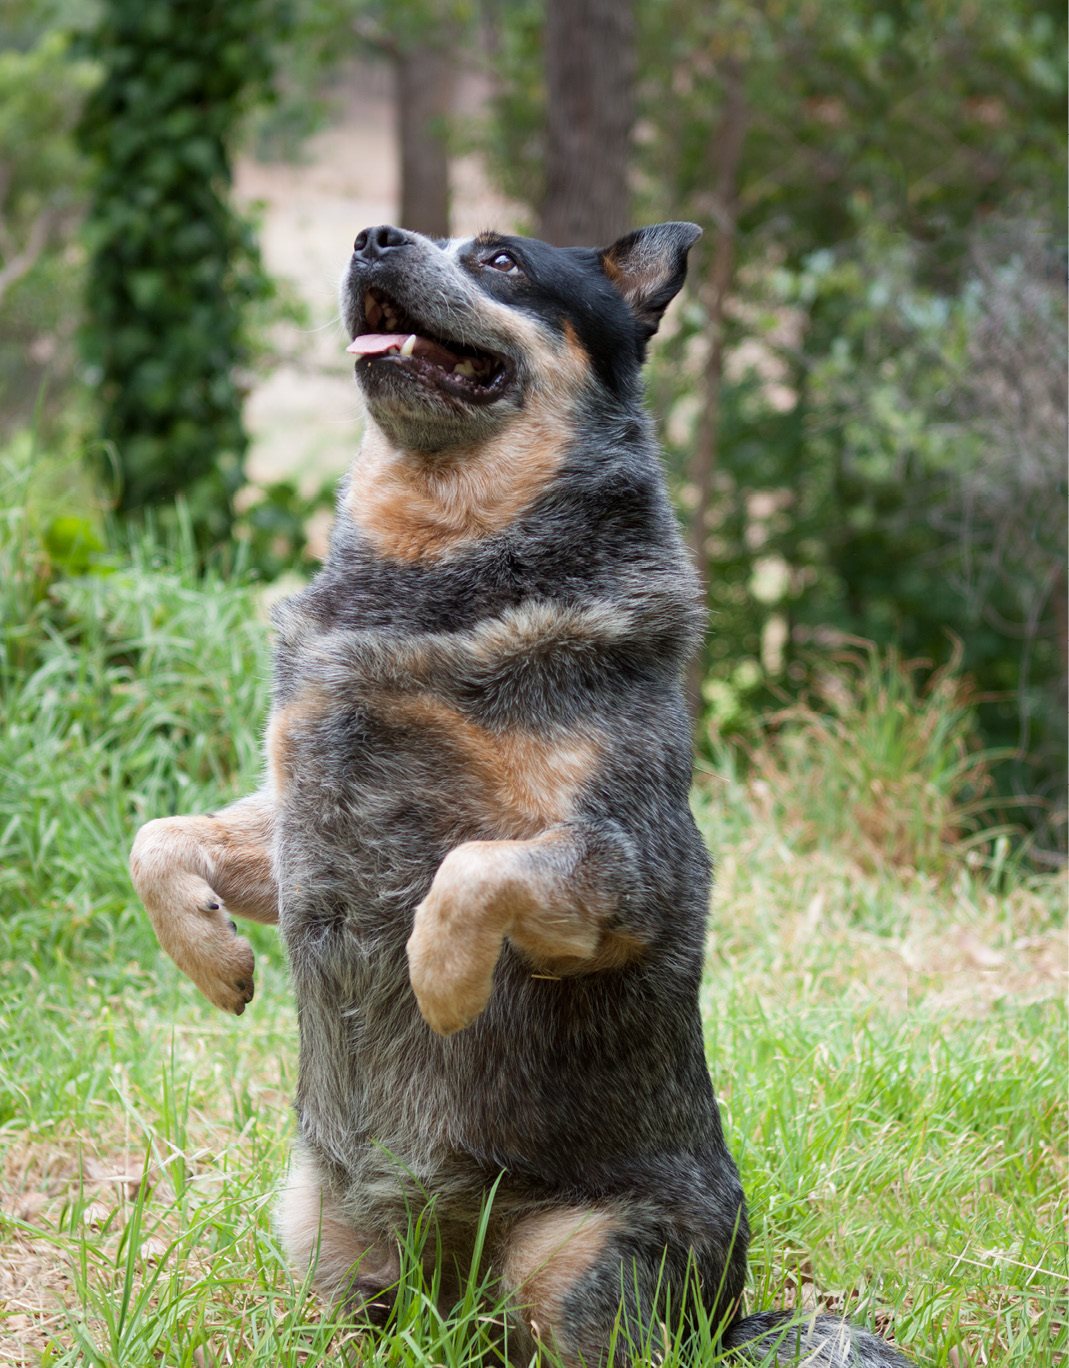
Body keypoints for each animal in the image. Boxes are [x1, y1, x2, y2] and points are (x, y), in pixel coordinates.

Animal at [127, 218, 908, 1362]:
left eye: (499, 259)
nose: (372, 236)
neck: (433, 570)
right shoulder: (300, 822)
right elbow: (156, 837)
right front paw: (216, 958)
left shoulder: (635, 867)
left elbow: (469, 868)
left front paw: (441, 982)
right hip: (318, 1236)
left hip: (577, 1268)